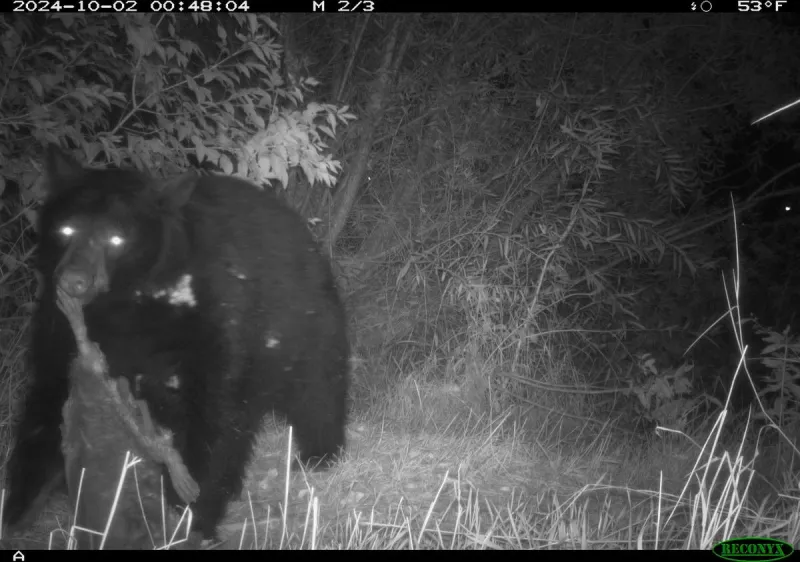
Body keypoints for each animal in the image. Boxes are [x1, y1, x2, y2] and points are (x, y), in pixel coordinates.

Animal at [4, 144, 350, 542]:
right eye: (66, 228)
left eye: (117, 239)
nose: (74, 281)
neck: (125, 309)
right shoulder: (60, 328)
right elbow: (47, 402)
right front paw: (17, 512)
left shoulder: (208, 321)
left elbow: (212, 415)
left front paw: (191, 517)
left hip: (300, 317)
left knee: (316, 386)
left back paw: (318, 455)